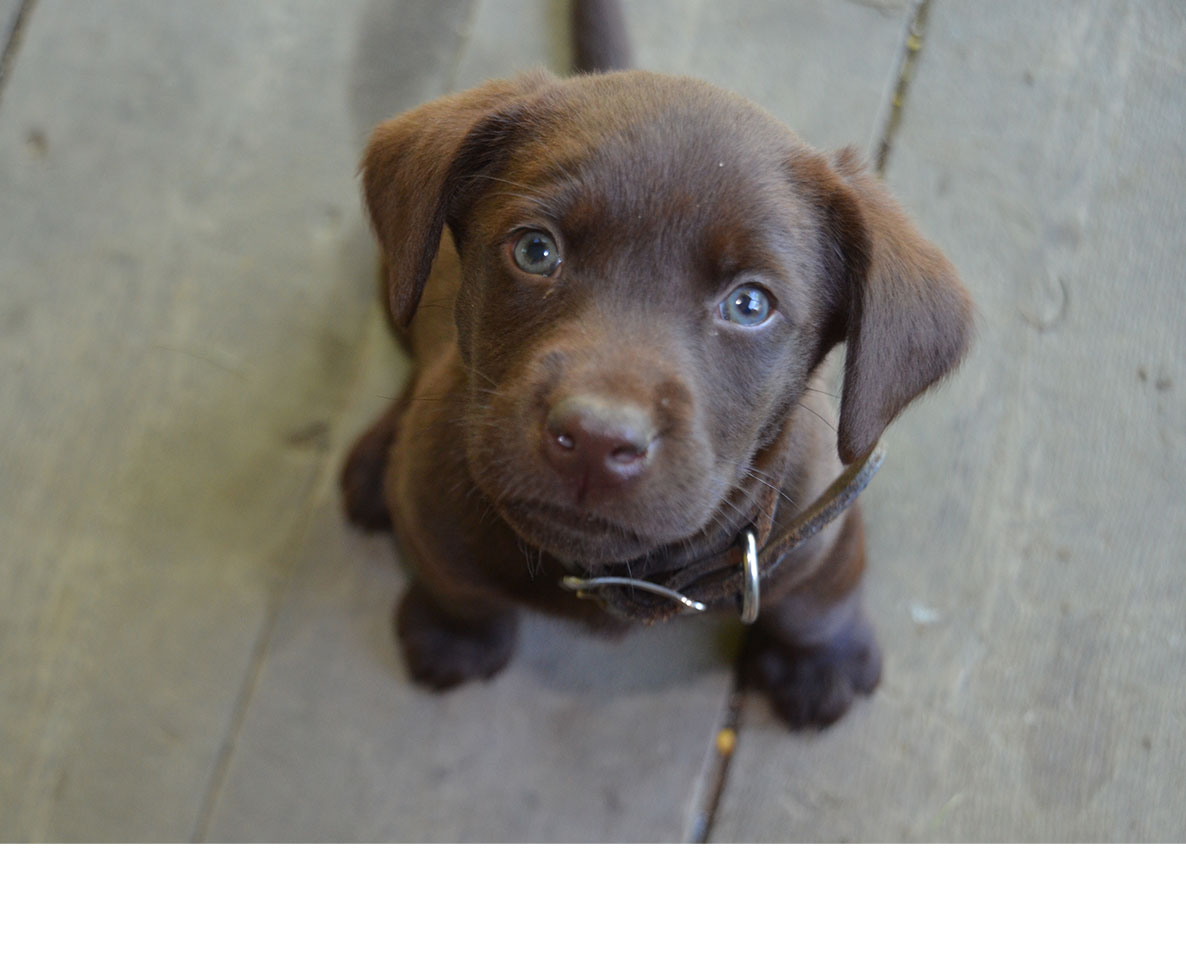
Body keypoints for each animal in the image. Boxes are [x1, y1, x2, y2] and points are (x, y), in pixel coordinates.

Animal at [339, 11, 967, 725]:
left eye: (750, 305)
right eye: (535, 250)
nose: (594, 440)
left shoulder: (820, 520)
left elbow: (821, 599)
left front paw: (821, 662)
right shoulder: (429, 499)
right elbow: (455, 583)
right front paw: (454, 636)